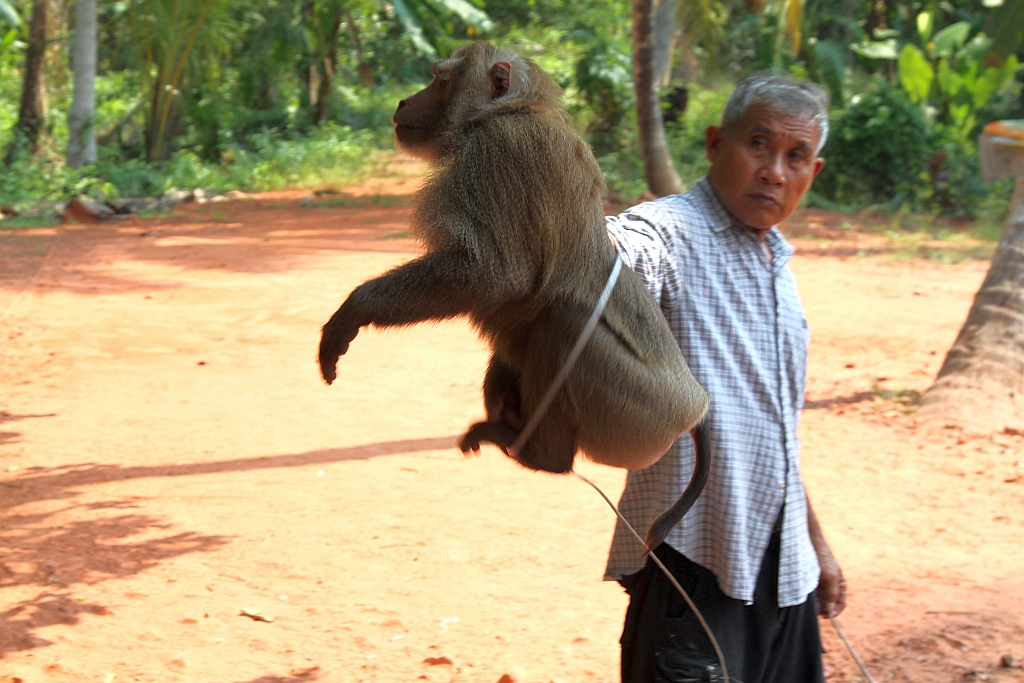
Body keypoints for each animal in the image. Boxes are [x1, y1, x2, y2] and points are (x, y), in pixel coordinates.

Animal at [319, 42, 712, 548]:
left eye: (440, 81)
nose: (406, 100)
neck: (512, 109)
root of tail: (692, 405)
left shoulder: (495, 151)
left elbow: (494, 276)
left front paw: (357, 308)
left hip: (637, 417)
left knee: (563, 319)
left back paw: (545, 458)